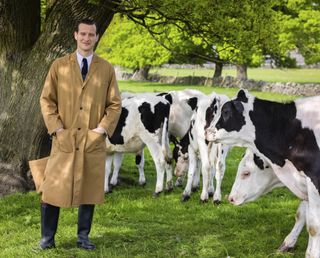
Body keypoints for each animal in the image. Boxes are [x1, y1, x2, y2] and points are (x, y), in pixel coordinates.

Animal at [206, 88, 320, 256]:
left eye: (225, 112)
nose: (207, 131)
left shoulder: (314, 181)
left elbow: (314, 227)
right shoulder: (304, 182)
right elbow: (302, 214)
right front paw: (289, 243)